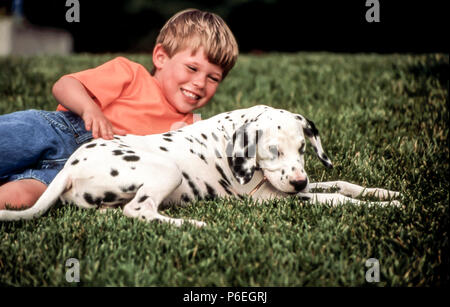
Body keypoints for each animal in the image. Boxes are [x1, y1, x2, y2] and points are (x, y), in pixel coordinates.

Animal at [0, 104, 400, 227]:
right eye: (271, 151)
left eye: (302, 148)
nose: (300, 182)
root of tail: (71, 164)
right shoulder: (271, 199)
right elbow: (337, 199)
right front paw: (384, 207)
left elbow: (344, 185)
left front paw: (386, 193)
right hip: (165, 170)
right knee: (139, 211)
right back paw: (193, 224)